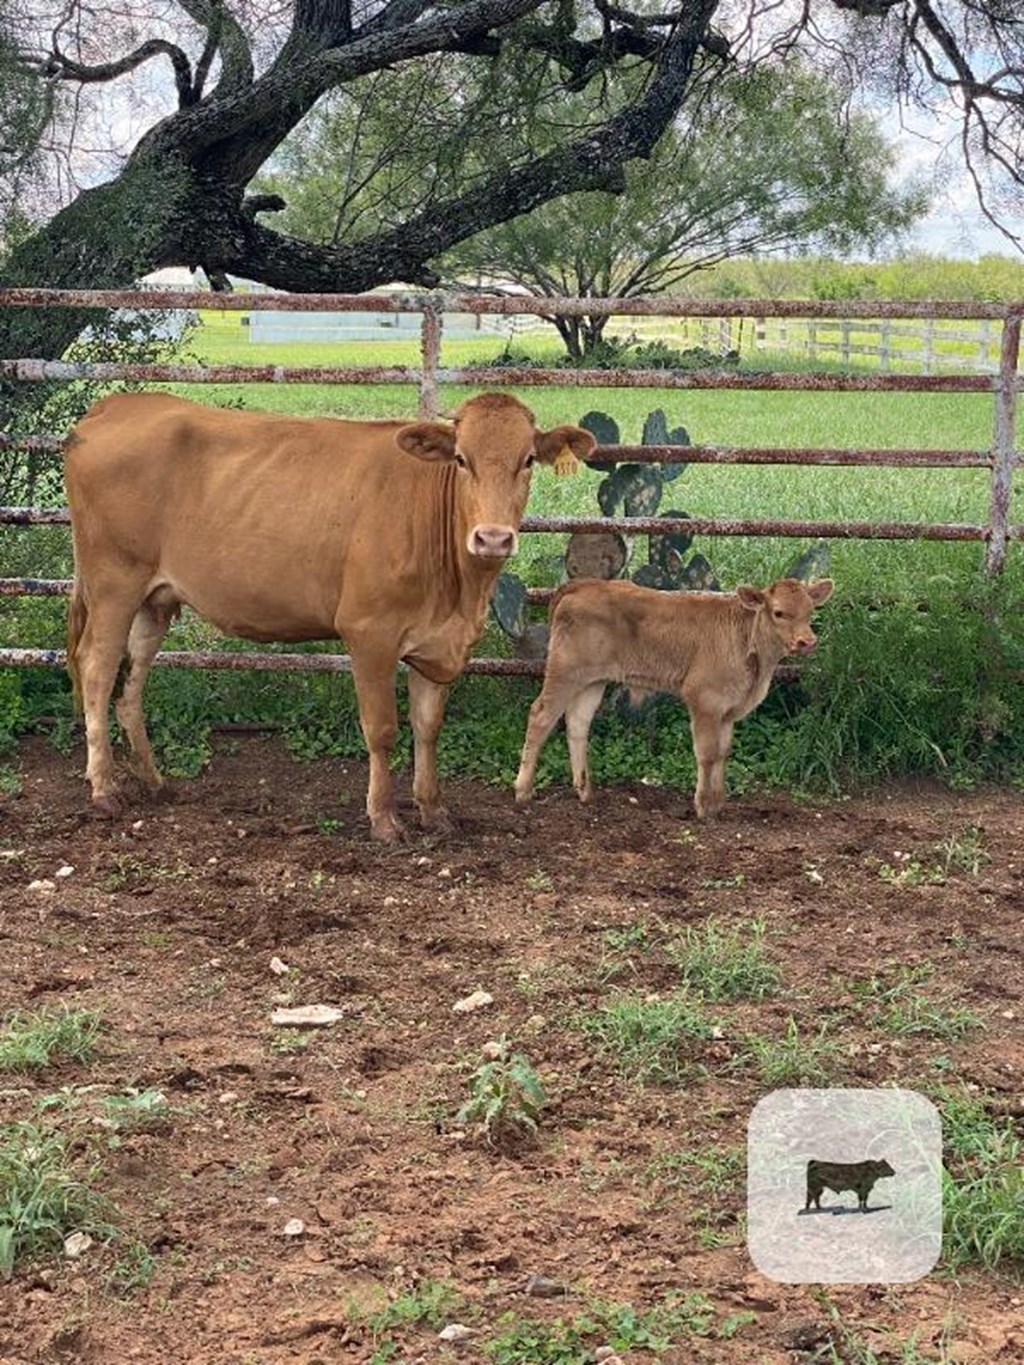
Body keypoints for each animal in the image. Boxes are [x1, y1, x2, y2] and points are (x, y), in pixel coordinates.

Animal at [66, 390, 592, 835]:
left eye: (528, 460)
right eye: (462, 459)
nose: (493, 538)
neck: (461, 595)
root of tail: (118, 404)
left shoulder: (438, 645)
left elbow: (428, 728)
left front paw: (434, 810)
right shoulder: (369, 633)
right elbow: (382, 730)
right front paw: (384, 819)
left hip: (154, 600)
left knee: (130, 685)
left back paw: (155, 782)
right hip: (114, 585)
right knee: (96, 670)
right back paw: (104, 790)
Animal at [516, 578, 835, 819]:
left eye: (810, 611)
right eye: (779, 612)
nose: (807, 642)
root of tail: (583, 584)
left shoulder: (727, 710)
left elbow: (723, 751)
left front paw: (718, 803)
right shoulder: (704, 699)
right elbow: (707, 753)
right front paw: (703, 806)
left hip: (592, 681)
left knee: (578, 723)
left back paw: (584, 791)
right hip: (565, 672)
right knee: (540, 716)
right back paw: (523, 790)